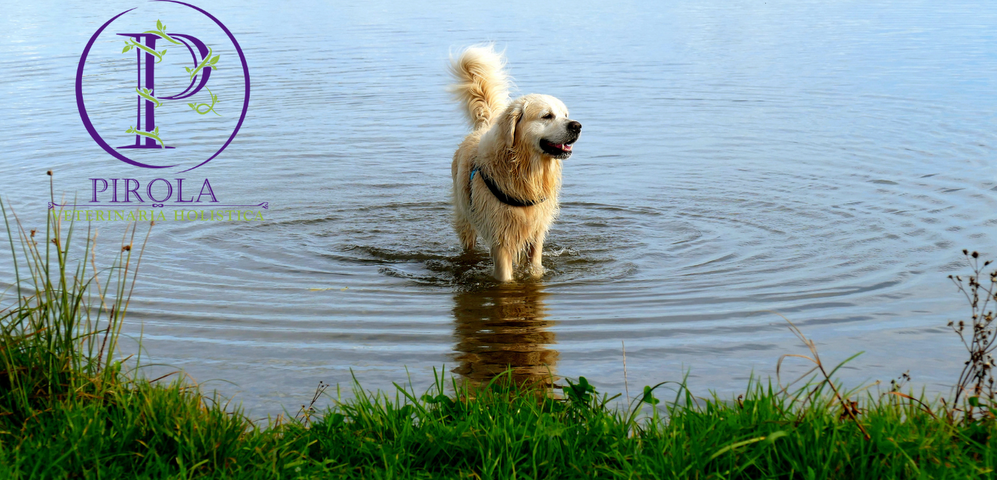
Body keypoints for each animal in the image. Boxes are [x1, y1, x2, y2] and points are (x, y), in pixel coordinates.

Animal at [448, 46, 580, 282]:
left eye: (565, 115)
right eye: (547, 116)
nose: (577, 126)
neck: (526, 170)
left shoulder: (535, 231)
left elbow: (534, 267)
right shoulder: (500, 236)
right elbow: (505, 276)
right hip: (465, 217)